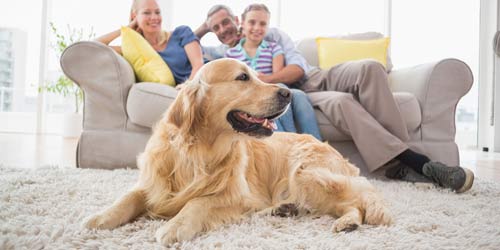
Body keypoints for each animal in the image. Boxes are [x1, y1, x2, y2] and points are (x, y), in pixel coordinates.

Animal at [84, 58, 392, 244]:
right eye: (243, 77)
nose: (287, 93)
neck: (199, 150)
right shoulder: (153, 183)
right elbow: (128, 197)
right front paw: (101, 217)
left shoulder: (232, 194)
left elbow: (198, 202)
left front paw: (174, 226)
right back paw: (283, 209)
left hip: (306, 173)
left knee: (359, 201)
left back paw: (348, 221)